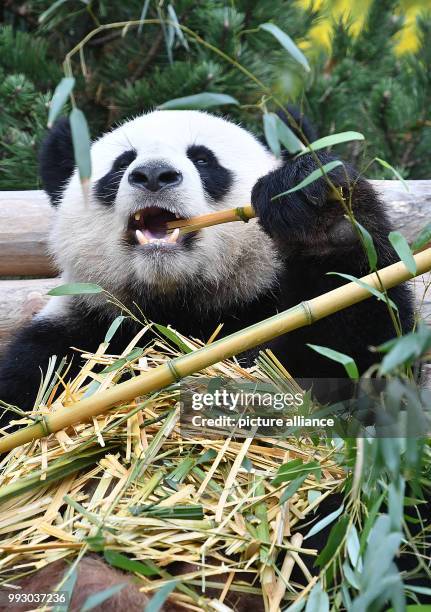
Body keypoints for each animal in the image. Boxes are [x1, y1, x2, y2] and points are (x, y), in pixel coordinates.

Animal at [0, 109, 418, 608]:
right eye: (121, 165)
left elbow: (369, 370)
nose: (153, 175)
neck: (179, 308)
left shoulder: (277, 317)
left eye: (203, 159)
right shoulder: (70, 343)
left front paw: (317, 207)